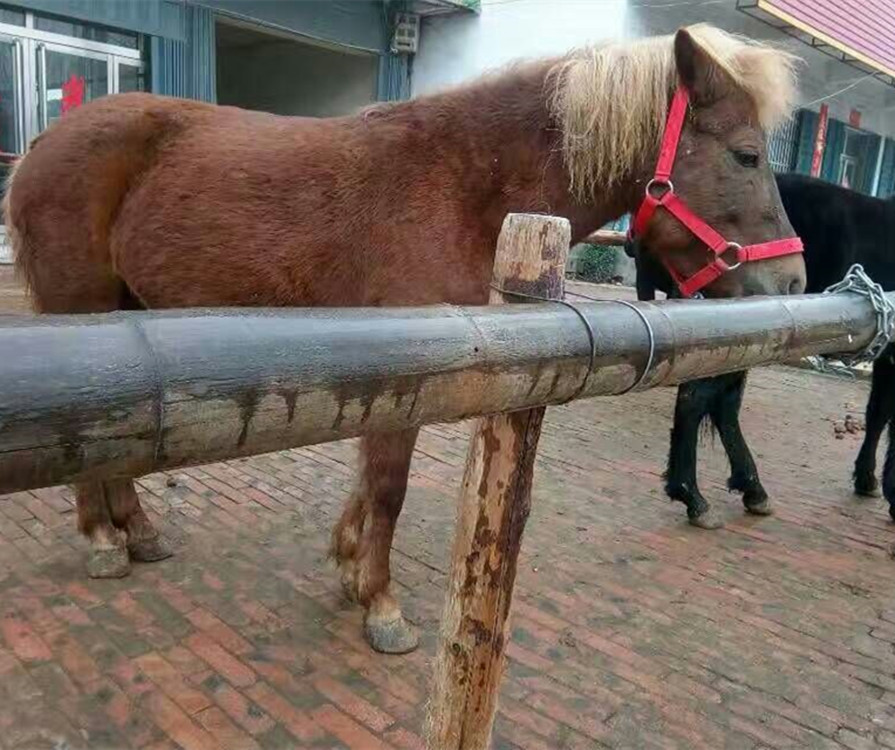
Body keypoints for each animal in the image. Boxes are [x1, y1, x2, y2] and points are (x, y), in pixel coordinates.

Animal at [6, 24, 805, 653]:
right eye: (745, 155)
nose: (795, 279)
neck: (459, 184)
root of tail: (45, 140)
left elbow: (370, 484)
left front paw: (347, 567)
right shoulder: (409, 370)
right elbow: (387, 487)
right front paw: (380, 604)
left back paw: (137, 534)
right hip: (82, 310)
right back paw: (102, 541)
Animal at [630, 172, 895, 528]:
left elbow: (878, 413)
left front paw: (867, 479)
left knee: (720, 403)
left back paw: (749, 487)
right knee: (699, 399)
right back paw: (694, 493)